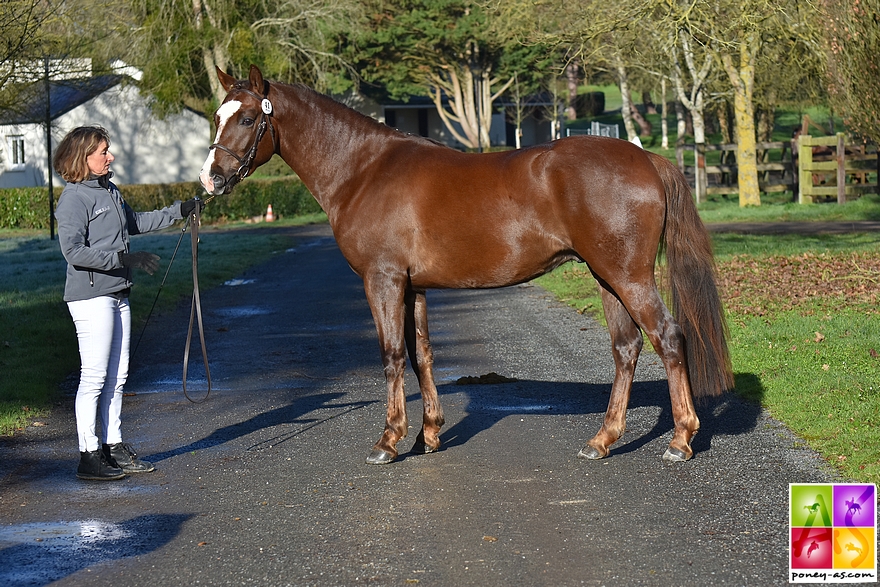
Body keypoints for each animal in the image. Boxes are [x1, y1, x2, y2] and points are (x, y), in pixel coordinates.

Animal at [201, 64, 736, 466]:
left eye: (246, 119)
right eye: (216, 115)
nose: (211, 179)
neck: (364, 170)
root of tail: (648, 160)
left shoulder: (382, 280)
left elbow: (392, 355)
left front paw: (388, 441)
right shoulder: (413, 286)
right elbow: (422, 355)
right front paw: (428, 435)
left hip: (628, 276)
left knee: (668, 338)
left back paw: (681, 440)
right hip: (606, 277)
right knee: (626, 348)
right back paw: (602, 441)